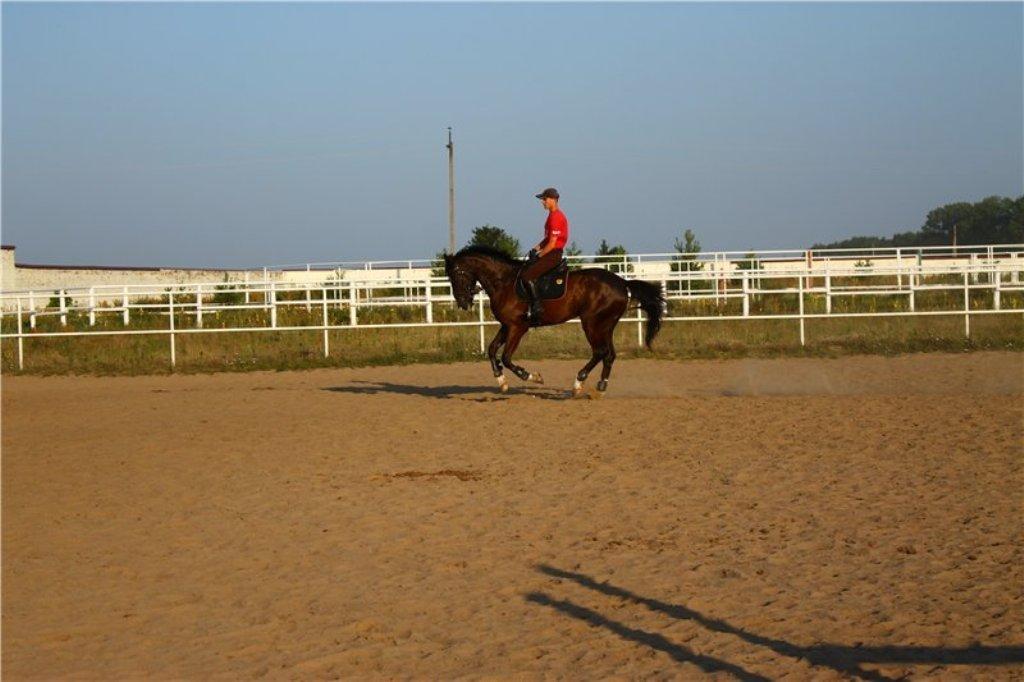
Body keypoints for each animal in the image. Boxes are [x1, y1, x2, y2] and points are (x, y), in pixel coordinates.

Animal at [444, 242, 667, 393]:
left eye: (457, 274)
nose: (462, 302)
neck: (504, 282)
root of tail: (622, 282)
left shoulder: (518, 327)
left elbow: (506, 357)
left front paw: (531, 376)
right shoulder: (507, 325)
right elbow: (491, 350)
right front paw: (501, 381)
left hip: (591, 323)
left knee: (600, 352)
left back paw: (578, 382)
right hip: (606, 325)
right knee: (609, 354)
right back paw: (601, 385)